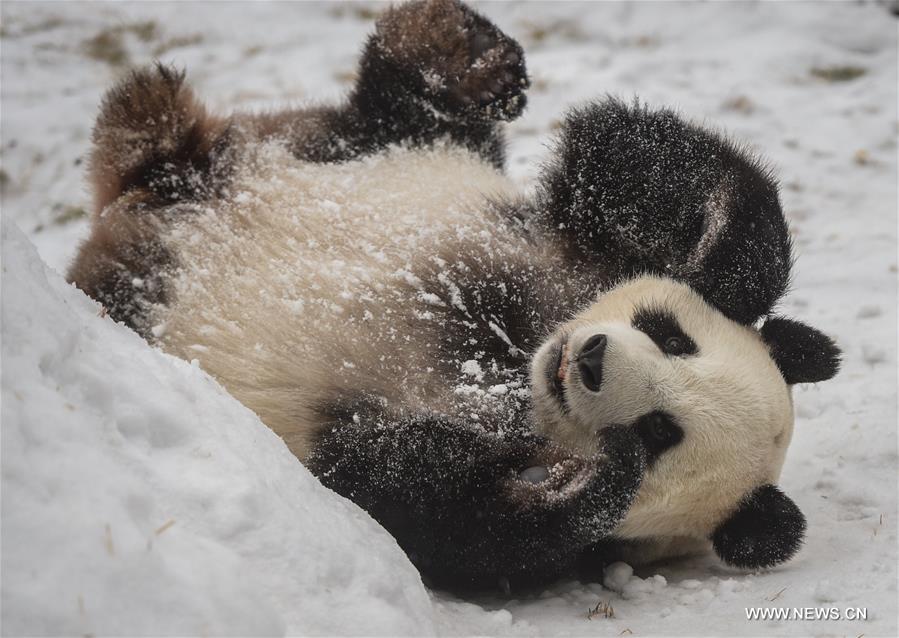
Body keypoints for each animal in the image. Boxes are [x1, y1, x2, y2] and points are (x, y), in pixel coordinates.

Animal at [68, 0, 844, 592]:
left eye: (662, 433)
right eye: (671, 336)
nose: (590, 359)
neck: (511, 360)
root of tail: (160, 193)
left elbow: (425, 511)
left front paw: (592, 480)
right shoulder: (564, 255)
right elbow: (636, 163)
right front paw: (728, 272)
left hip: (143, 287)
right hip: (355, 146)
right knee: (406, 102)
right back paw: (465, 54)